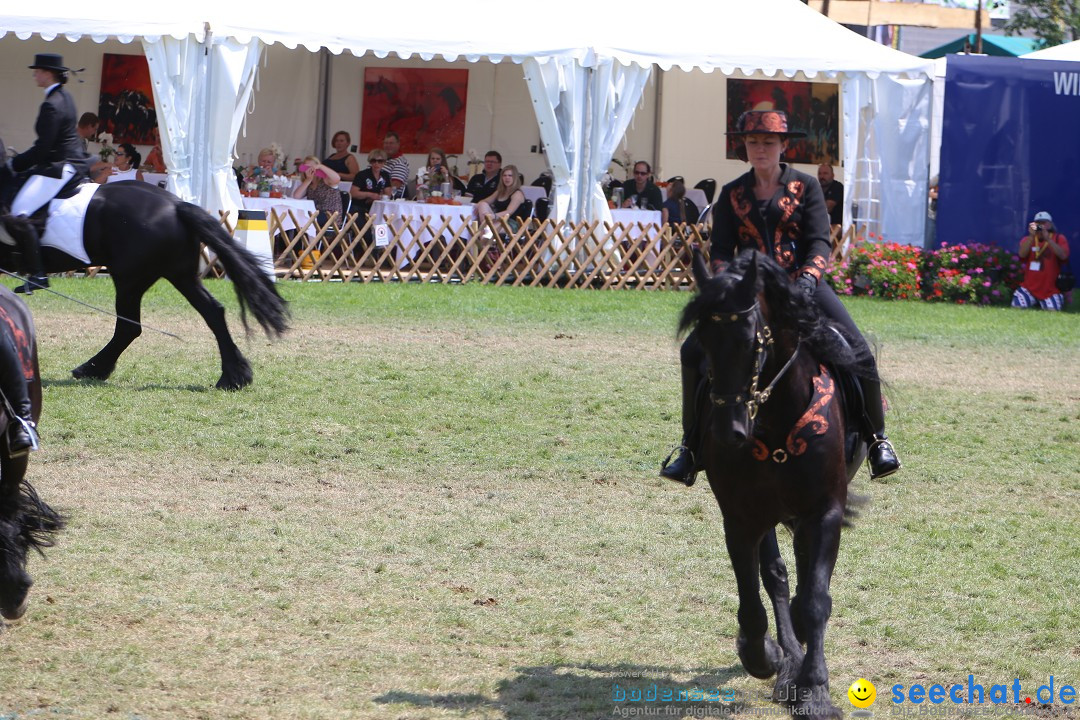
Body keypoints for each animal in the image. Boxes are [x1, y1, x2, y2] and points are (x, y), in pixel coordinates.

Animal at [0, 138, 289, 390]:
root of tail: (175, 206)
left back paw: (92, 368)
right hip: (180, 275)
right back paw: (234, 375)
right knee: (213, 312)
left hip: (129, 279)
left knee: (129, 327)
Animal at [682, 249, 876, 720]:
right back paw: (786, 660)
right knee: (778, 576)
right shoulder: (741, 517)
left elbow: (816, 600)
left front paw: (815, 689)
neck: (776, 423)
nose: (729, 432)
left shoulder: (824, 511)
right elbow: (756, 596)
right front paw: (767, 657)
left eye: (753, 340)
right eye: (702, 342)